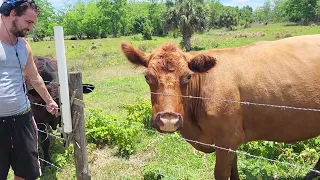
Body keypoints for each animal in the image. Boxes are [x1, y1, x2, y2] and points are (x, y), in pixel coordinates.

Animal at [120, 34, 320, 179]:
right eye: (147, 77)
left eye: (188, 76)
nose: (168, 120)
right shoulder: (231, 140)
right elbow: (234, 169)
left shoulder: (227, 138)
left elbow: (222, 173)